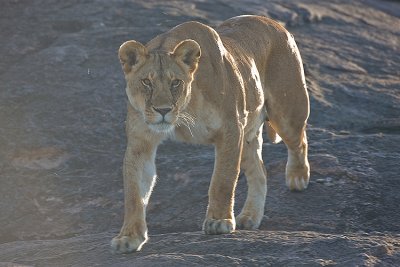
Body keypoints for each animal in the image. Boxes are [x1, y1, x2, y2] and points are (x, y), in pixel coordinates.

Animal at [111, 15, 310, 254]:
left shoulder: (231, 129)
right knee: (260, 171)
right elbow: (134, 194)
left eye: (175, 82)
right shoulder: (141, 142)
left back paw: (297, 177)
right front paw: (129, 237)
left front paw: (219, 221)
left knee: (299, 141)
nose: (163, 110)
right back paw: (250, 217)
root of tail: (274, 22)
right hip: (248, 135)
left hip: (286, 112)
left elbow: (222, 180)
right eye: (146, 82)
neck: (185, 110)